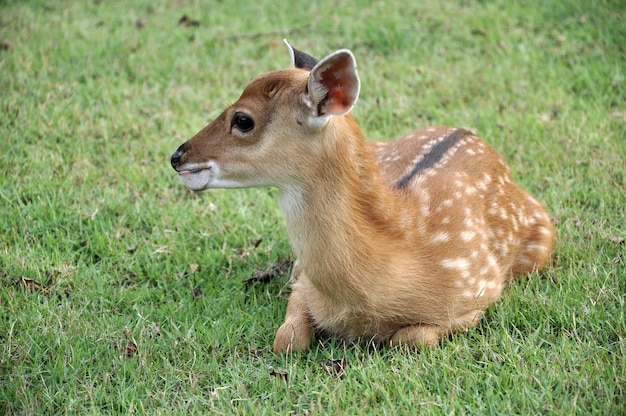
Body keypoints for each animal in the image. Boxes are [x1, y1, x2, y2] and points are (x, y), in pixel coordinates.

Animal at [169, 41, 552, 354]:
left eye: (243, 120)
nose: (177, 156)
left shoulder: (477, 293)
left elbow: (412, 338)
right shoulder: (303, 281)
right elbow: (286, 340)